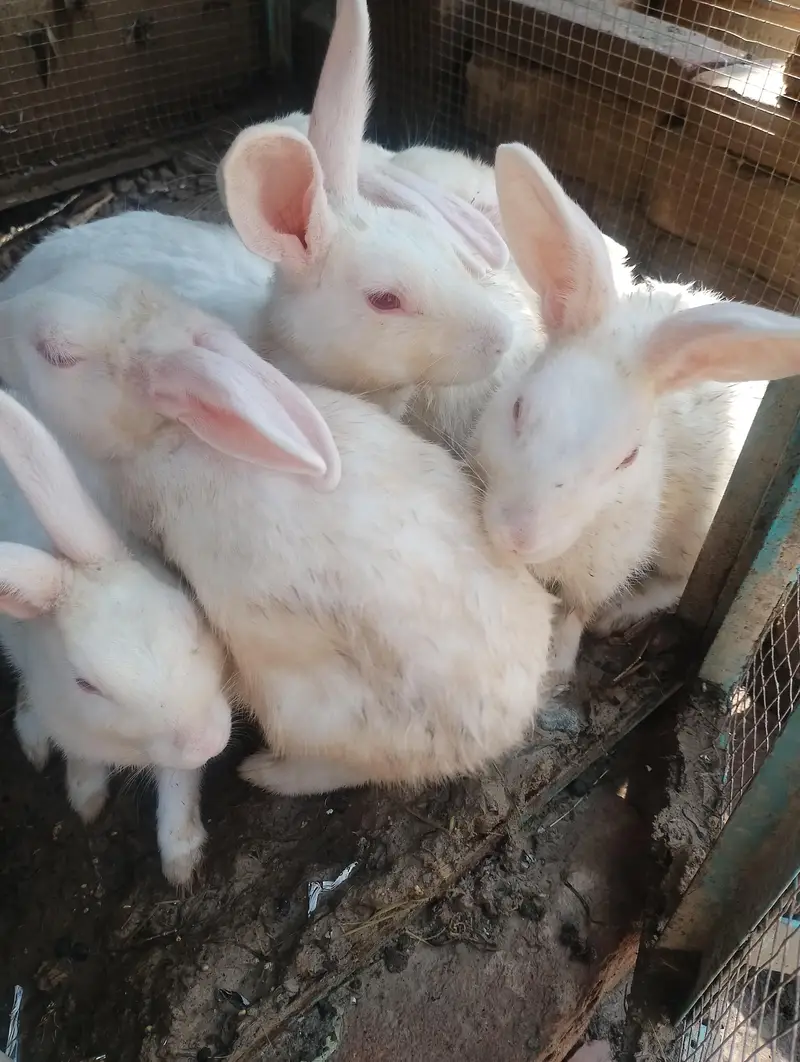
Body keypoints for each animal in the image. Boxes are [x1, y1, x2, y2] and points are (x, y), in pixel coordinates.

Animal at [0, 263, 555, 797]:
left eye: (57, 354)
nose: (6, 315)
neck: (176, 433)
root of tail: (506, 728)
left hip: (307, 711)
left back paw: (267, 774)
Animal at [0, 387, 232, 884]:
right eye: (86, 685)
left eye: (188, 614)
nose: (206, 741)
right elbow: (83, 760)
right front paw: (85, 797)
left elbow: (179, 783)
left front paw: (181, 860)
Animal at [473, 142, 800, 676]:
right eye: (518, 409)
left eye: (627, 458)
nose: (520, 535)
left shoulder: (606, 565)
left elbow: (577, 613)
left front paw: (560, 664)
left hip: (694, 537)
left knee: (679, 582)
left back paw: (623, 614)